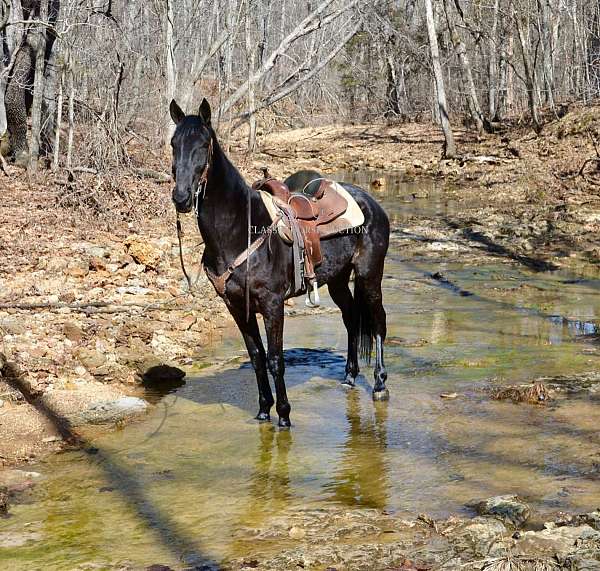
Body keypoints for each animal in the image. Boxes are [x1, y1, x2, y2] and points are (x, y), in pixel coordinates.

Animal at [171, 99, 392, 428]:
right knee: (351, 318)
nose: (181, 198)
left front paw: (284, 415)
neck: (241, 229)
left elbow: (276, 360)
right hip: (338, 280)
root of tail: (372, 204)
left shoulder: (272, 304)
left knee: (378, 322)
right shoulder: (237, 306)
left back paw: (379, 384)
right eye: (174, 144)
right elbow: (257, 358)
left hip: (369, 276)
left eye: (202, 144)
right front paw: (264, 410)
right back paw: (350, 376)